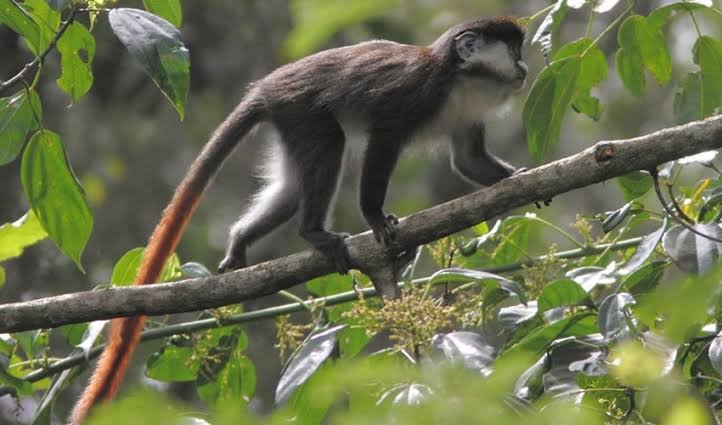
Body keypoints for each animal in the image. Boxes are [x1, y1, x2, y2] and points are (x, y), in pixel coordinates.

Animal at [70, 16, 528, 424]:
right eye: (515, 52)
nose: (524, 69)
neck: (461, 79)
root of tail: (268, 87)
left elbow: (467, 158)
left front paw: (522, 180)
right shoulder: (417, 92)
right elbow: (383, 140)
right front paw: (376, 218)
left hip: (289, 121)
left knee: (291, 193)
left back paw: (241, 239)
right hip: (301, 109)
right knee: (331, 143)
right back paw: (313, 232)